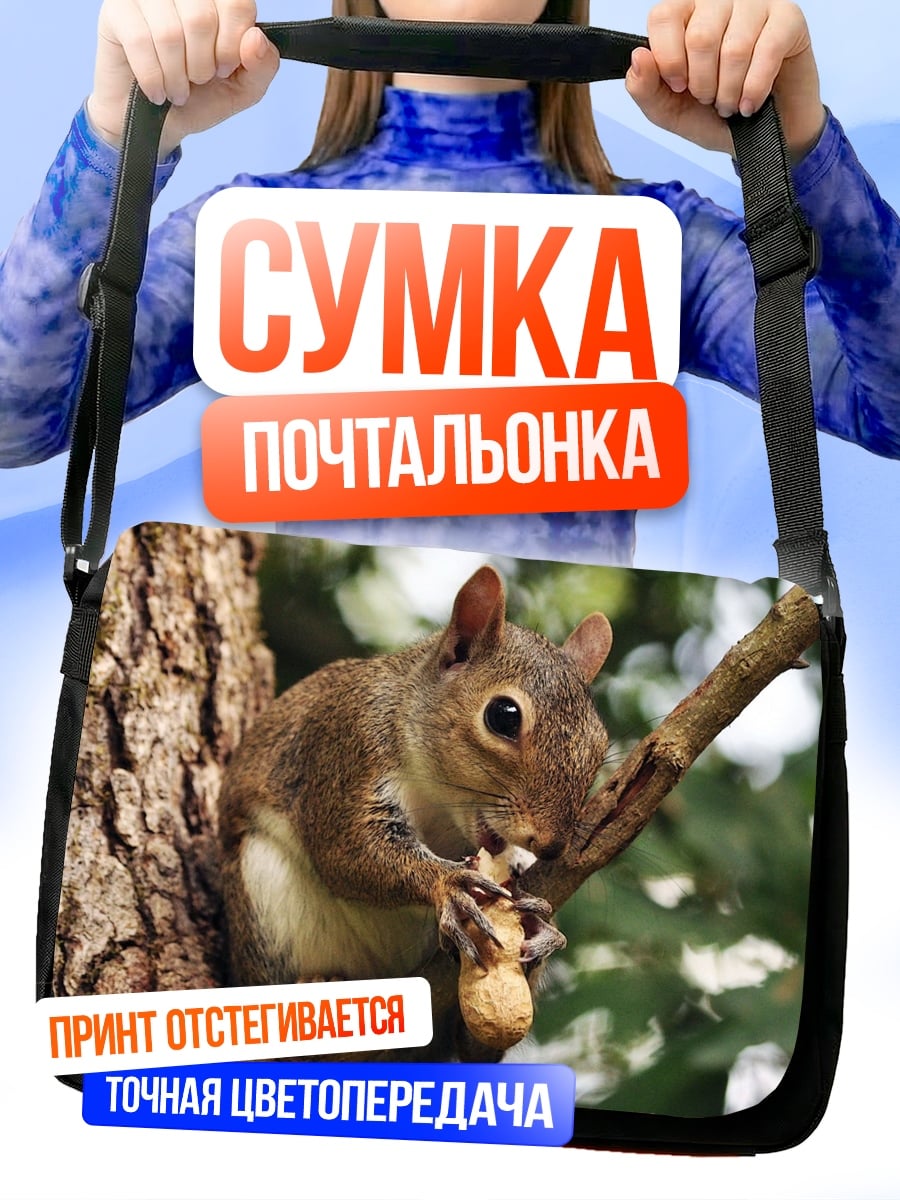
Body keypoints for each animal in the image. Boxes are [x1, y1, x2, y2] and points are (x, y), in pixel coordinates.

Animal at [218, 564, 613, 1007]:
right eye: (504, 716)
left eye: (600, 745)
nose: (551, 846)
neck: (439, 802)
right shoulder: (345, 751)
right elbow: (347, 849)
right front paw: (448, 883)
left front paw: (540, 926)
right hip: (264, 899)